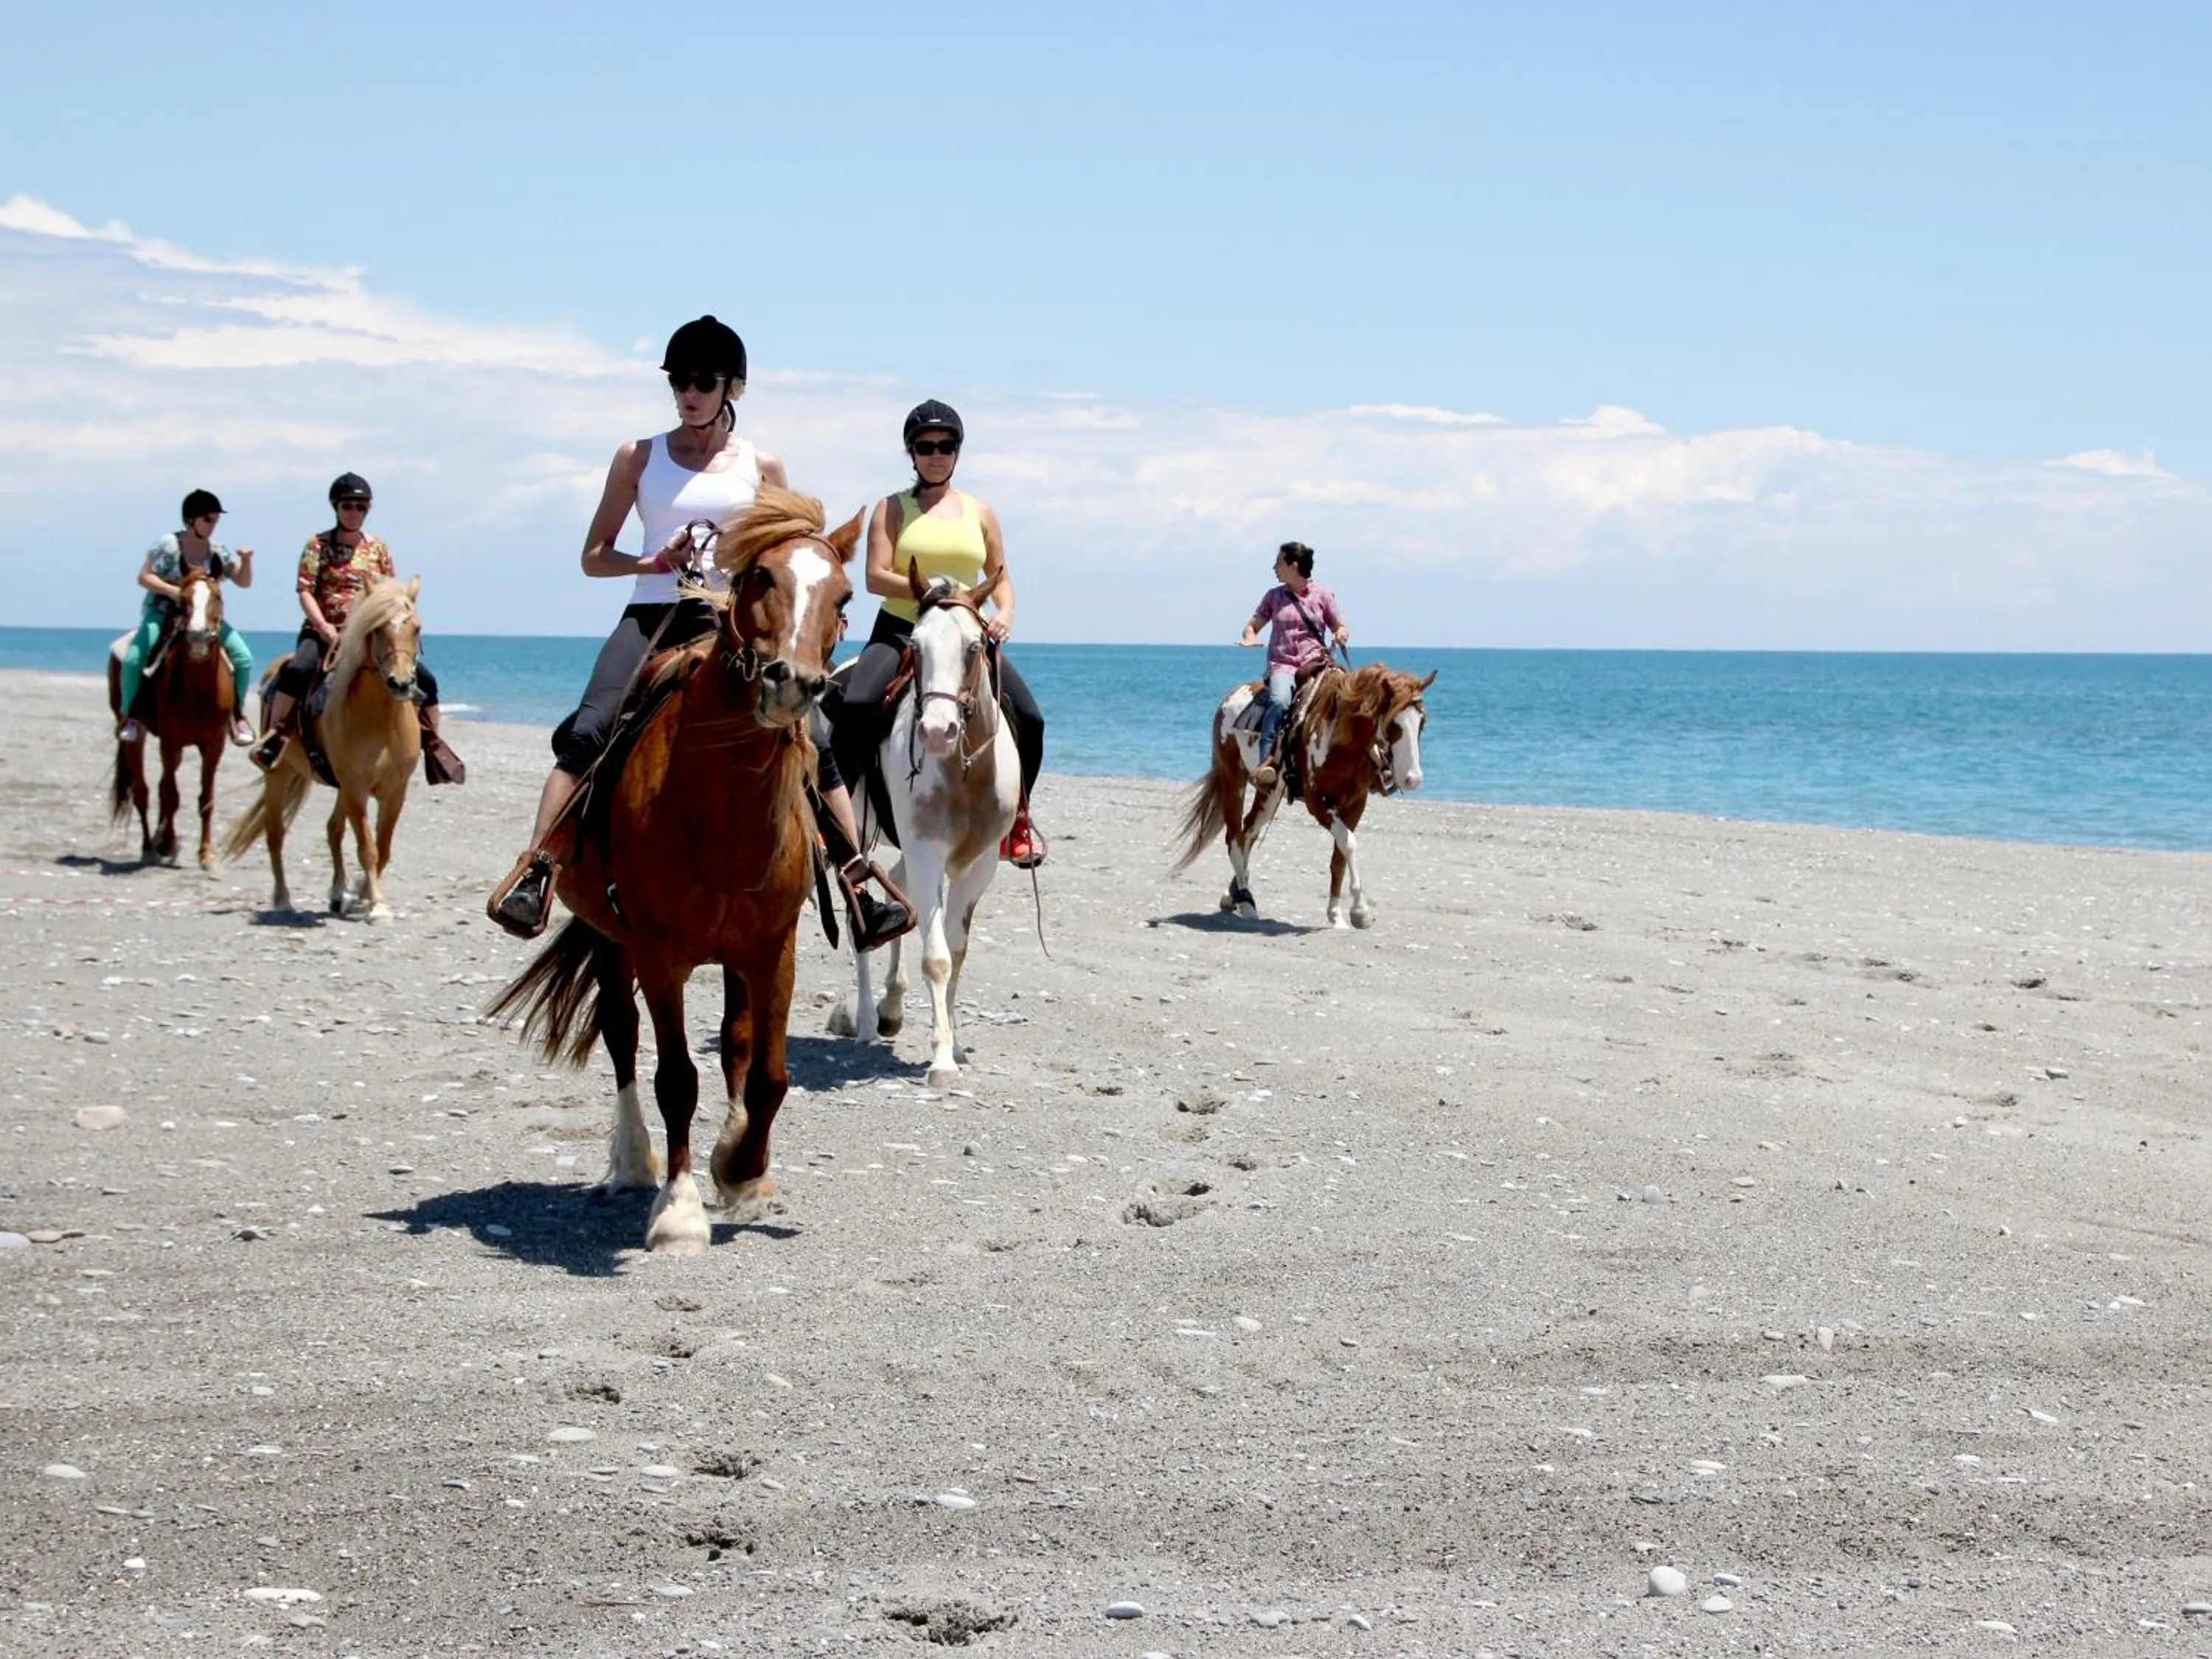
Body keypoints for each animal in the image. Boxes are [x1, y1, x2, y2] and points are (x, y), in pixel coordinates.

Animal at [107, 567, 236, 870]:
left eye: (217, 596)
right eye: (183, 599)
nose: (199, 637)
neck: (199, 689)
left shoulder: (214, 744)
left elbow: (205, 798)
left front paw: (206, 855)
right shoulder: (170, 741)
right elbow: (171, 796)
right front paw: (165, 845)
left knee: (159, 787)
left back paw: (163, 841)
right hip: (135, 736)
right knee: (143, 791)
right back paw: (150, 847)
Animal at [222, 576, 425, 921]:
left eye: (416, 628)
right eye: (378, 629)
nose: (401, 684)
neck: (381, 721)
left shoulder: (395, 791)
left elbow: (382, 848)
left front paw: (361, 897)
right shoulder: (356, 788)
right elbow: (368, 849)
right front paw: (377, 905)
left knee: (333, 830)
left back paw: (338, 893)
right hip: (280, 774)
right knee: (275, 834)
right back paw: (283, 899)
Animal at [485, 490, 858, 1256]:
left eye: (843, 596)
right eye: (760, 578)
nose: (792, 683)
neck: (718, 808)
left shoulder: (772, 949)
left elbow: (769, 1075)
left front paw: (743, 1168)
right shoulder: (659, 956)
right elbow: (675, 1078)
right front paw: (681, 1210)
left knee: (737, 1046)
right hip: (609, 939)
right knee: (623, 1038)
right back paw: (633, 1164)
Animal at [828, 564, 1019, 1088]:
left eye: (975, 646)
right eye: (914, 645)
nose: (936, 732)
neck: (964, 771)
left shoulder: (979, 865)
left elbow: (955, 949)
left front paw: (954, 1043)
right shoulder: (928, 851)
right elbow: (936, 956)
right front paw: (941, 1062)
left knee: (896, 889)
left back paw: (891, 1007)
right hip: (859, 835)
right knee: (859, 913)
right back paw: (864, 1022)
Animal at [1174, 662, 1434, 928]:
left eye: (1422, 722)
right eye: (1394, 724)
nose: (1412, 779)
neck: (1339, 737)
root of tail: (1231, 696)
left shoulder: (1356, 802)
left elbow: (1340, 854)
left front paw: (1336, 914)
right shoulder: (1317, 802)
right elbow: (1348, 843)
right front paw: (1360, 912)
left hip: (1269, 792)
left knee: (1249, 832)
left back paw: (1231, 895)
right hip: (1232, 779)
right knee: (1235, 837)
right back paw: (1246, 901)